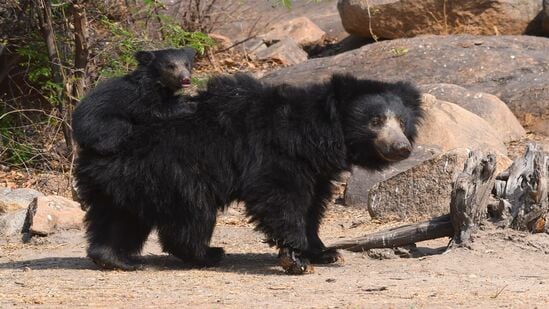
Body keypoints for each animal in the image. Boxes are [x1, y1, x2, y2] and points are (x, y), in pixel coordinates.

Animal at [74, 73, 420, 274]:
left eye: (402, 123)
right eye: (376, 121)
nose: (402, 148)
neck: (320, 134)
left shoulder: (318, 169)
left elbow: (313, 206)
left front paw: (326, 252)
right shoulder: (279, 152)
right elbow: (280, 196)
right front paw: (296, 257)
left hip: (124, 179)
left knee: (120, 217)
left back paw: (114, 257)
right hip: (173, 169)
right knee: (191, 214)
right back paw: (207, 253)